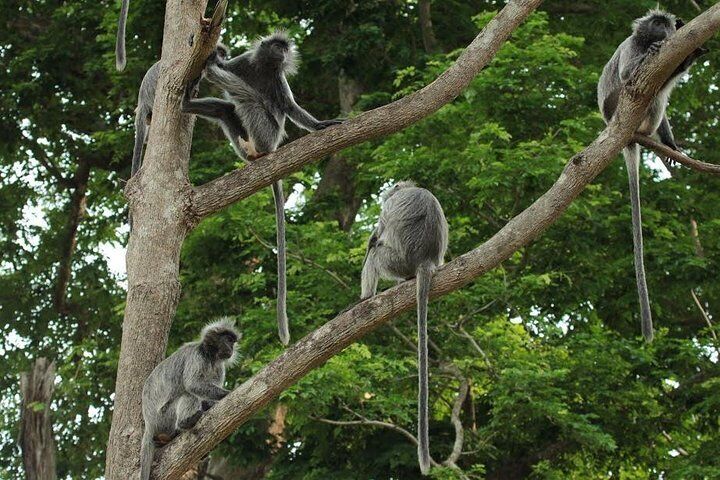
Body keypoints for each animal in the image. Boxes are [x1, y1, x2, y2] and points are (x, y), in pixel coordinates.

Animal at [139, 318, 239, 480]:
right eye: (229, 340)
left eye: (233, 342)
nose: (232, 348)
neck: (210, 357)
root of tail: (149, 424)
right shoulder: (197, 356)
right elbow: (192, 385)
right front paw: (227, 393)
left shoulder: (218, 367)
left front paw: (211, 404)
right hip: (163, 418)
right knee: (189, 394)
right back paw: (185, 422)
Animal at [182, 31, 344, 346]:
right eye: (276, 46)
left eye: (284, 48)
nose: (281, 52)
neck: (265, 68)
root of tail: (269, 150)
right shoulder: (244, 62)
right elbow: (233, 70)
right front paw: (213, 56)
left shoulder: (277, 79)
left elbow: (289, 107)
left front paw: (320, 125)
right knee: (226, 107)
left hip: (266, 133)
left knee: (248, 99)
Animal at [360, 181, 448, 475]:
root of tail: (425, 260)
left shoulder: (389, 208)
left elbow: (380, 231)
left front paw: (373, 235)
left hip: (395, 260)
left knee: (377, 251)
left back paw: (365, 298)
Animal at [597, 9, 705, 343]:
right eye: (655, 23)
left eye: (663, 24)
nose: (661, 30)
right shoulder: (631, 46)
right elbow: (627, 73)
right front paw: (655, 52)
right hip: (618, 103)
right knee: (643, 87)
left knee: (660, 93)